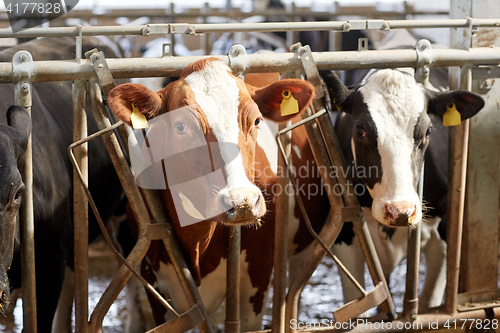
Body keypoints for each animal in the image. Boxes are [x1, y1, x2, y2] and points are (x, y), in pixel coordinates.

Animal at [320, 68, 484, 312]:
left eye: (428, 131)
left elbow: (428, 302)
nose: (400, 210)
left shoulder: (444, 234)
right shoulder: (345, 235)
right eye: (360, 131)